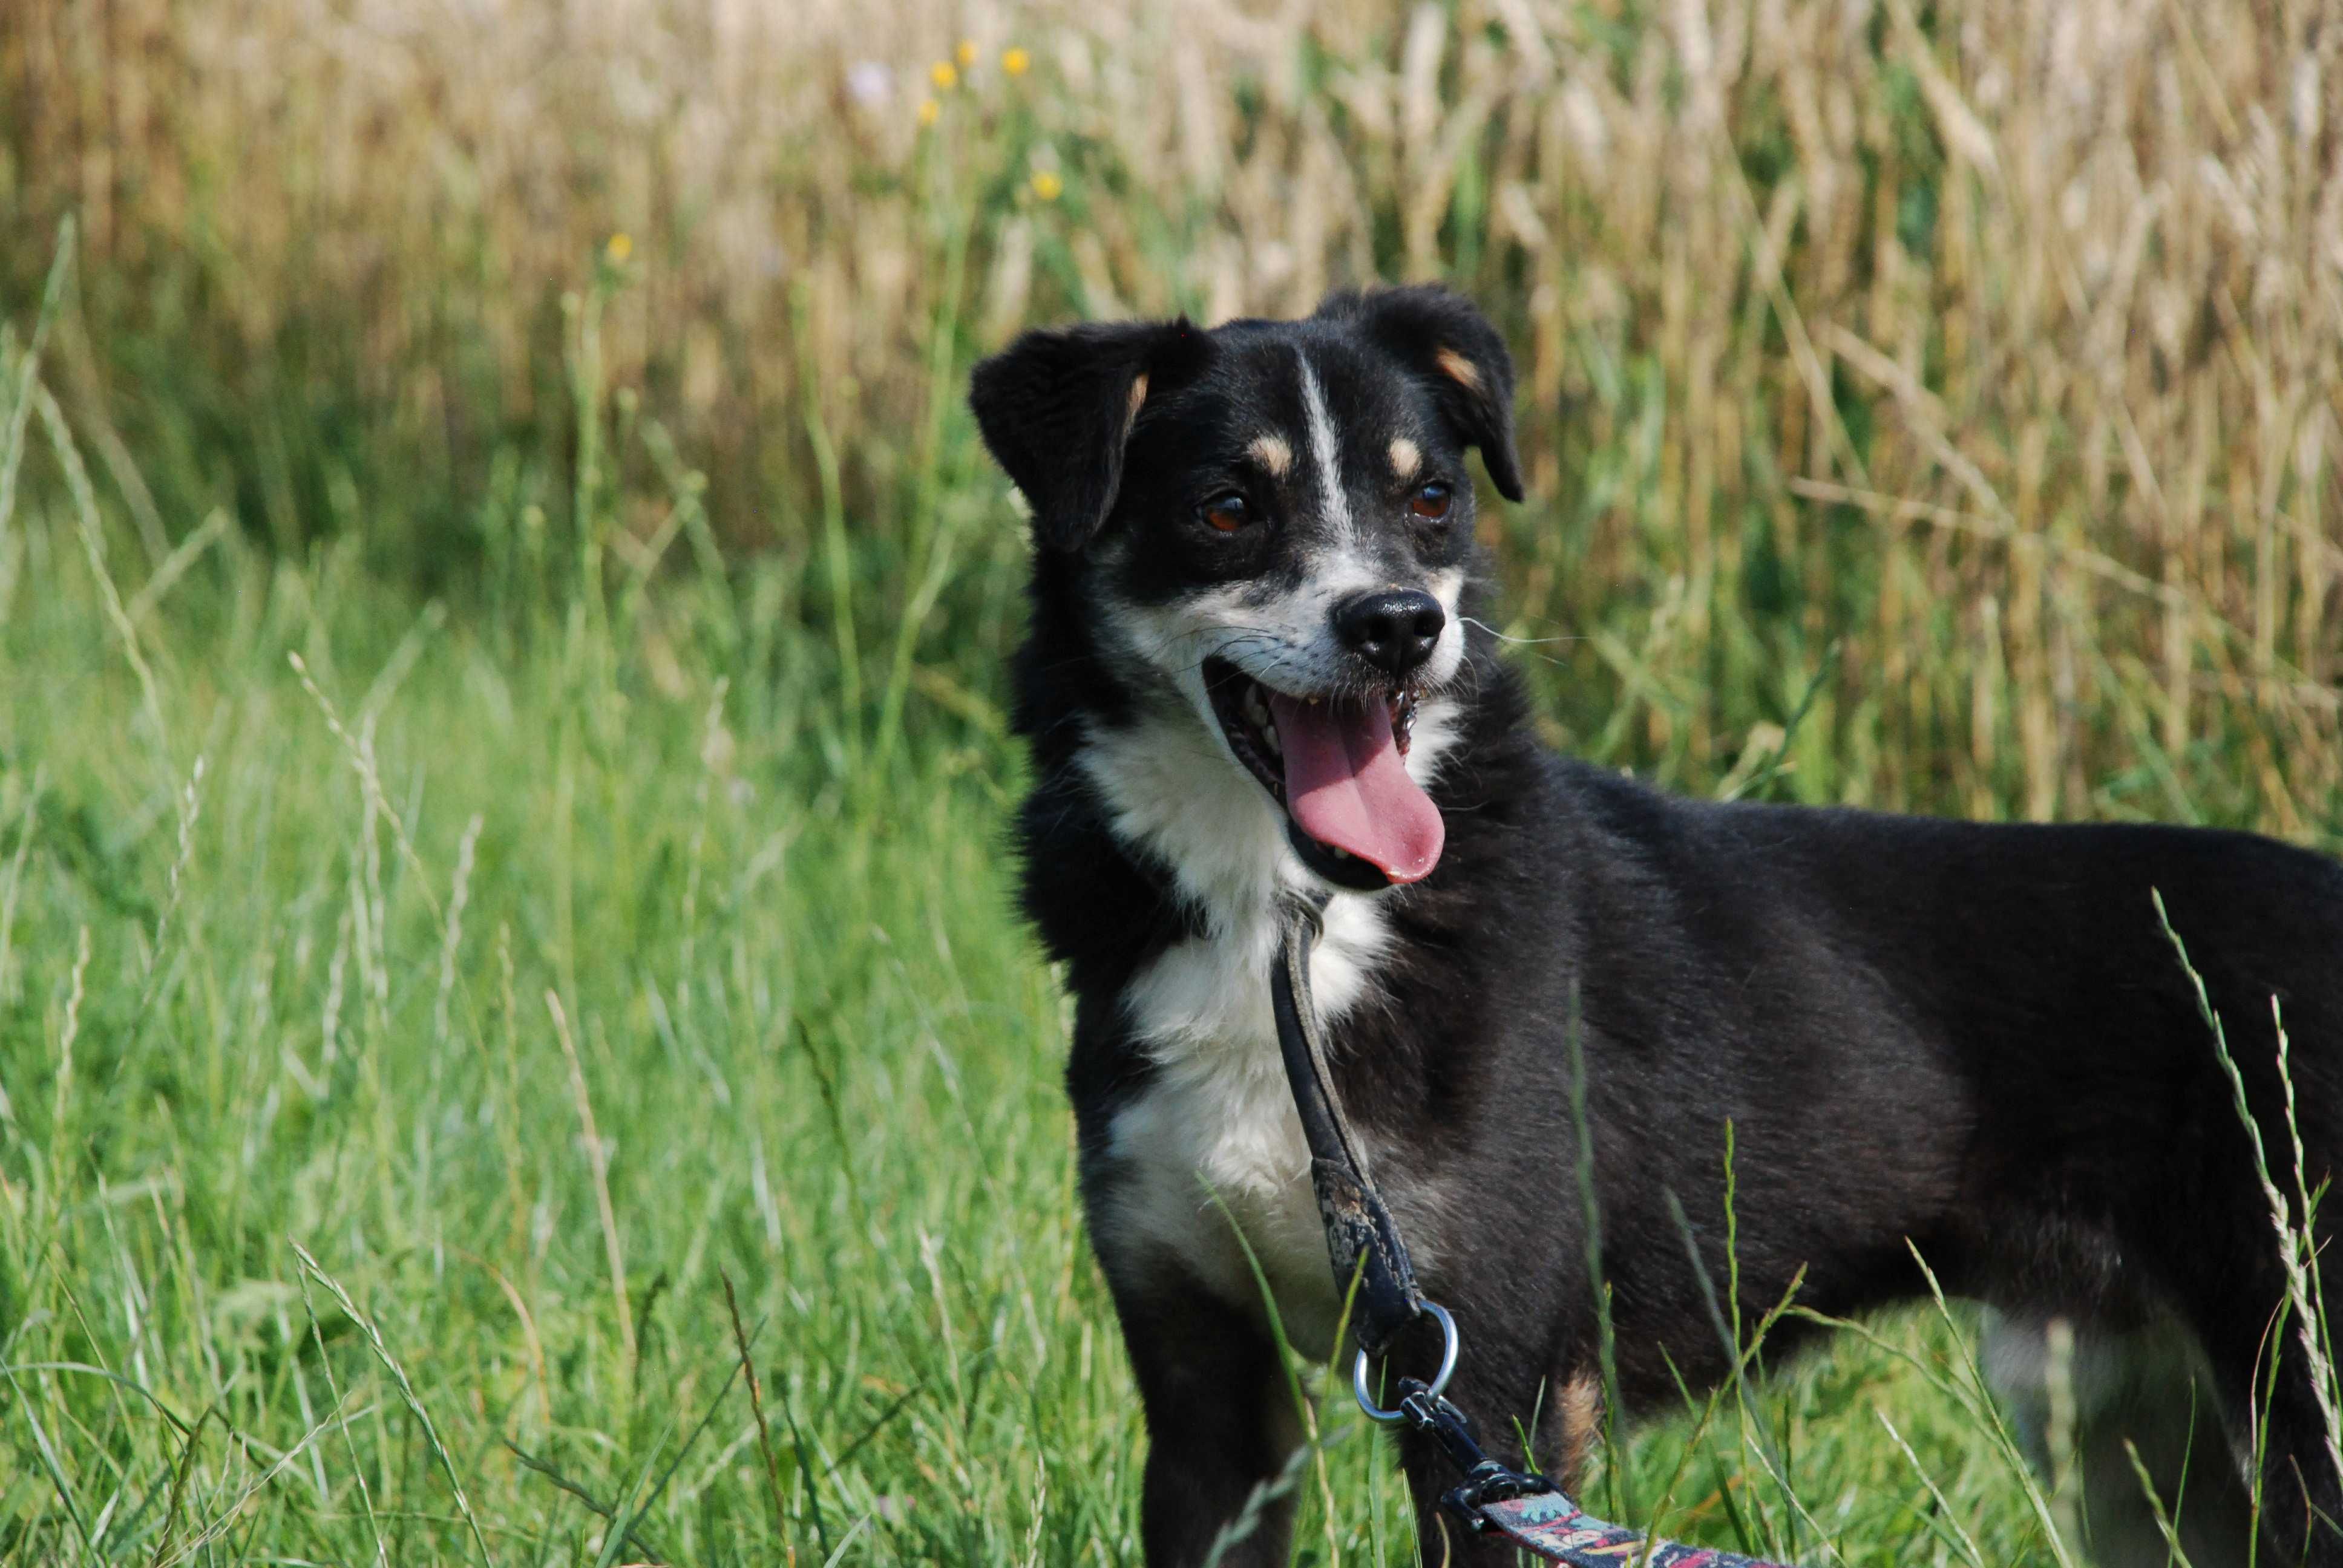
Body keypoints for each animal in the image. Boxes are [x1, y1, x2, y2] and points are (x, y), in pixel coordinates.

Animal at [970, 287, 2343, 1556]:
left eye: (1429, 501)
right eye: (1225, 507)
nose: (1401, 624)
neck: (1295, 935)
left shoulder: (1491, 1393)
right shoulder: (1207, 1391)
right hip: (2138, 1443)